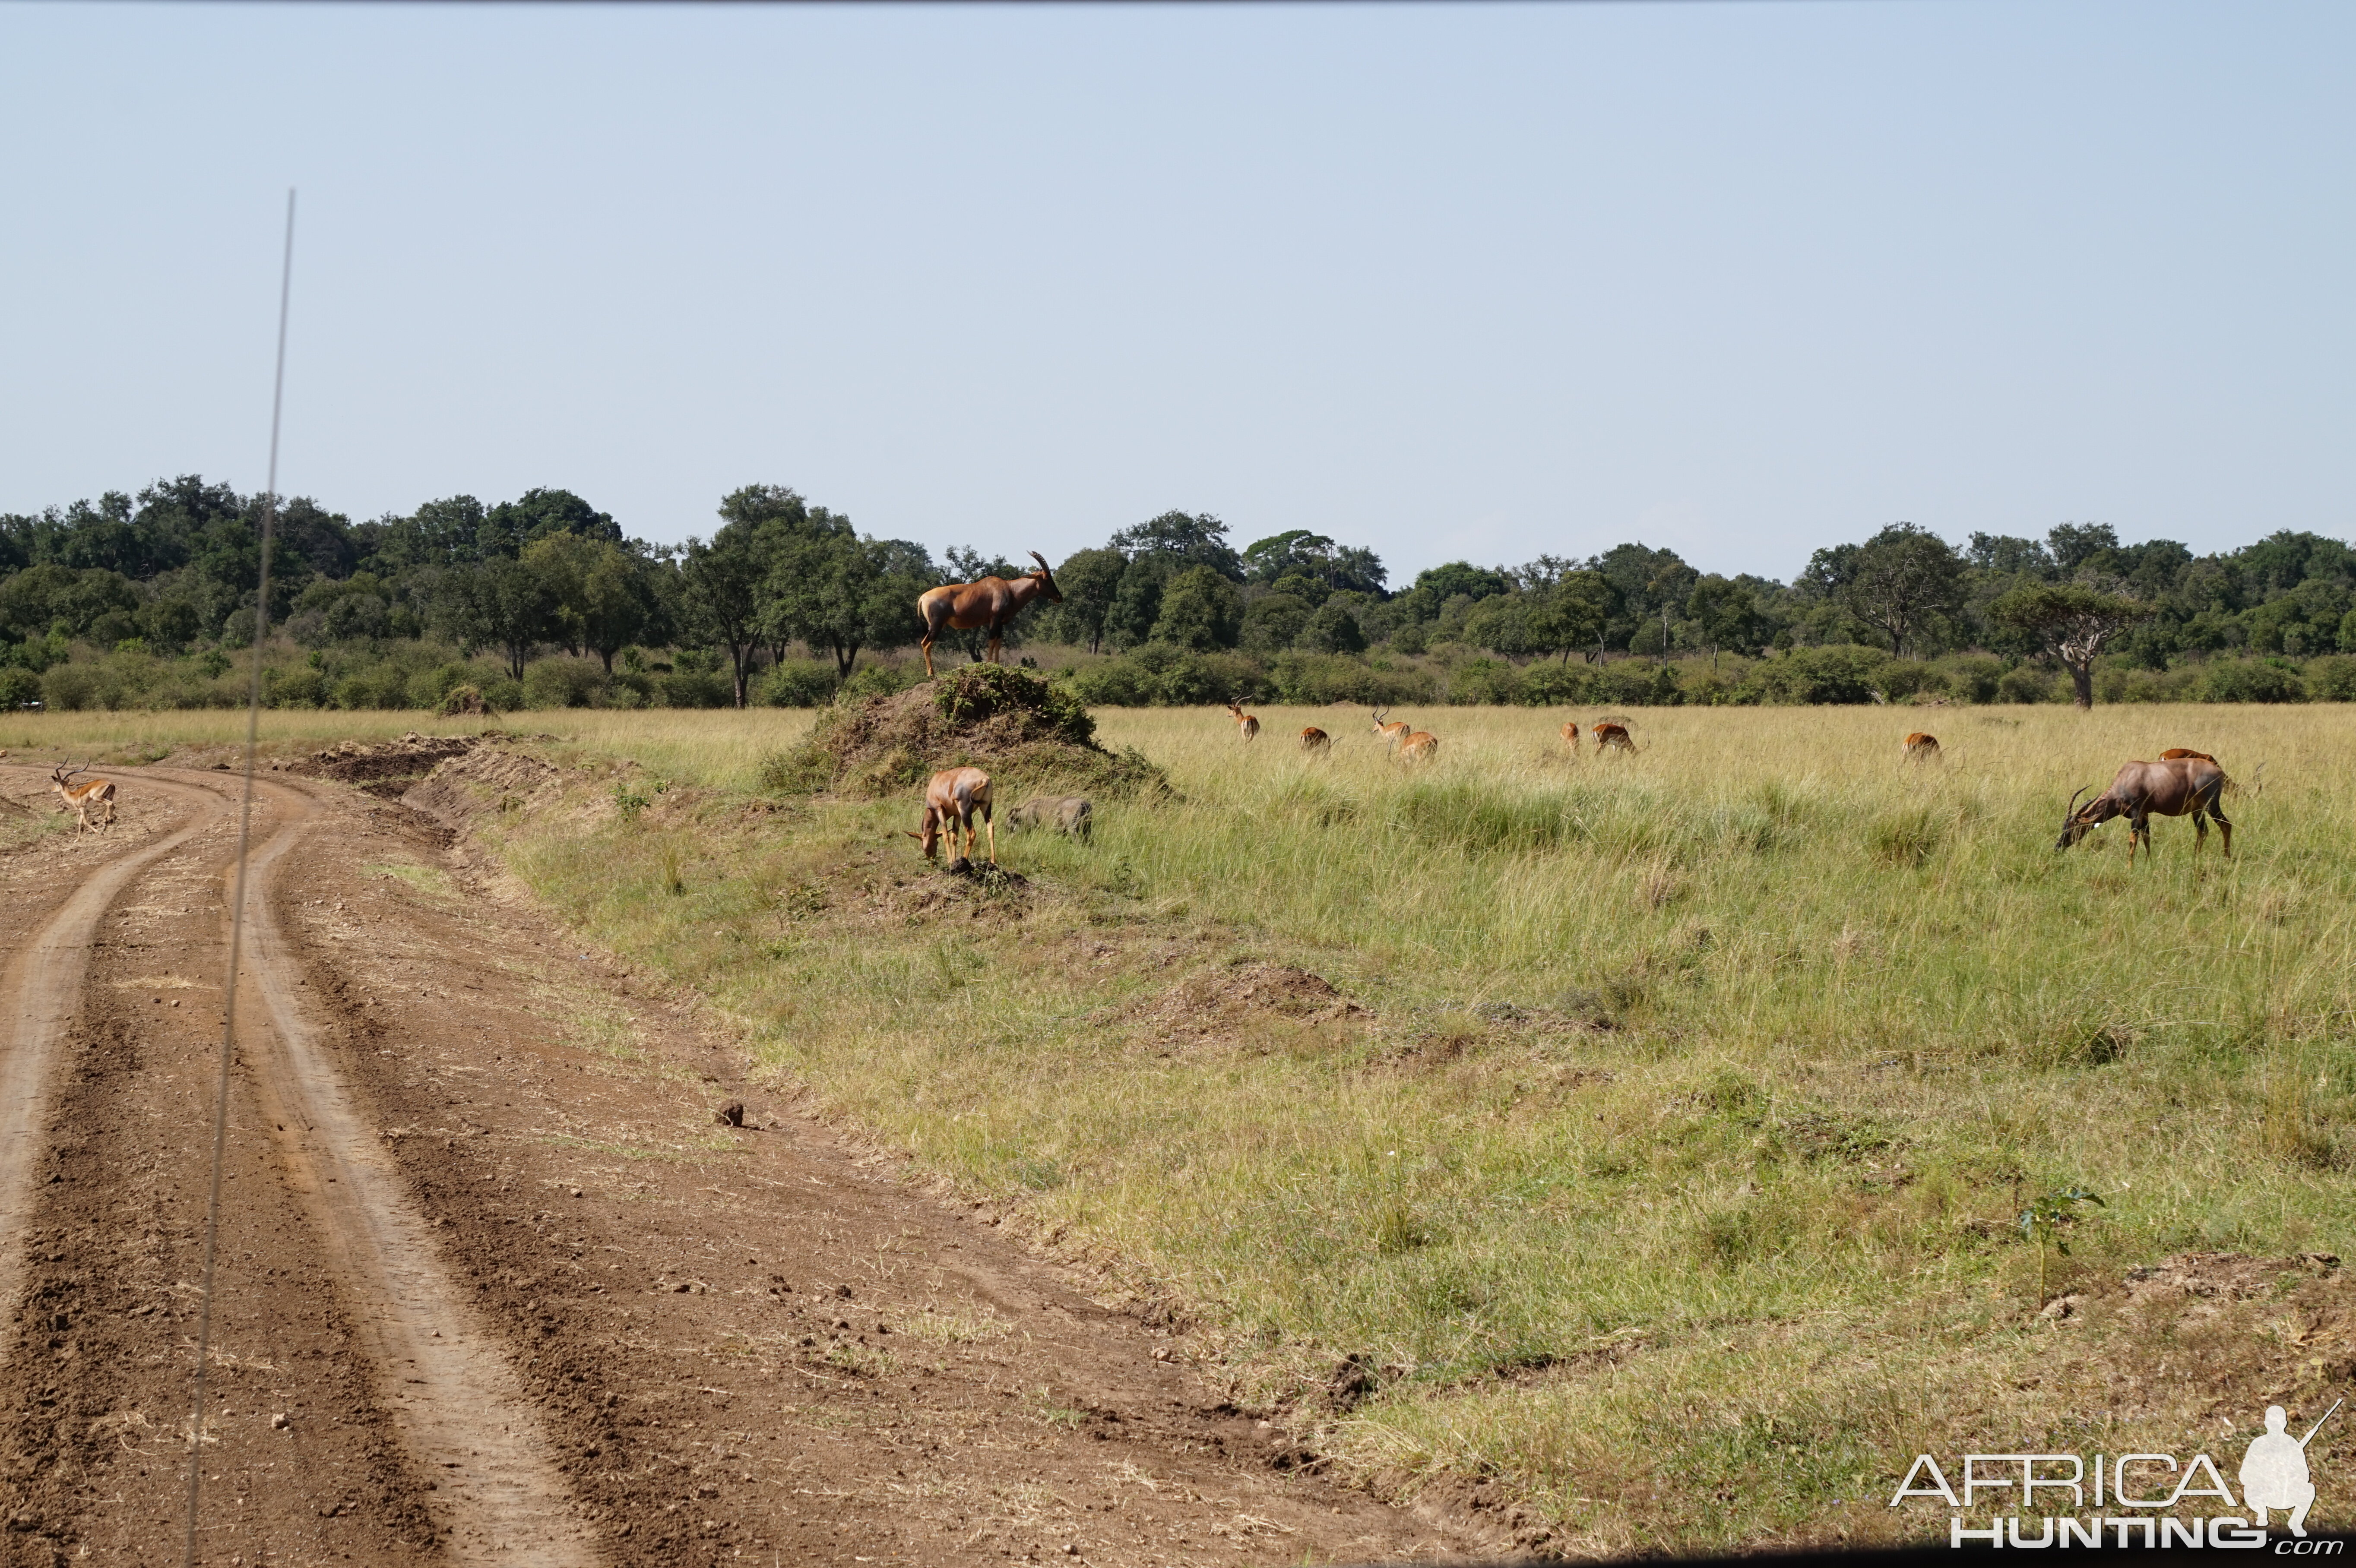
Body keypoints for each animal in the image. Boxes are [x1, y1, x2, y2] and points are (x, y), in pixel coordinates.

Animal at [49, 758, 116, 828]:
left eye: (57, 783)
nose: (52, 790)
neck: (72, 796)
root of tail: (111, 784)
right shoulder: (82, 810)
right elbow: (80, 823)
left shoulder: (82, 808)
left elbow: (85, 822)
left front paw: (98, 831)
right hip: (108, 798)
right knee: (113, 806)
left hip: (97, 798)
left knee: (110, 804)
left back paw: (104, 821)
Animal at [900, 762, 994, 861]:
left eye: (922, 843)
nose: (932, 858)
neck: (937, 780)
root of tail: (984, 779)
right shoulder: (957, 814)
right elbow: (954, 836)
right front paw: (953, 860)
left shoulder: (939, 809)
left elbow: (945, 834)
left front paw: (950, 861)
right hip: (986, 806)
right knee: (990, 827)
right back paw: (993, 861)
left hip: (965, 810)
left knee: (971, 833)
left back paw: (965, 858)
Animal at [918, 548, 1070, 673]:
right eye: (1046, 578)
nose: (1059, 597)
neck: (1009, 589)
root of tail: (924, 597)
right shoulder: (994, 619)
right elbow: (991, 642)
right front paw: (989, 666)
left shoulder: (1001, 623)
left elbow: (998, 642)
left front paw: (997, 666)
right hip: (937, 625)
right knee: (926, 644)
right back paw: (932, 675)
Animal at [2054, 753, 2233, 861]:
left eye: (2071, 828)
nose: (2058, 849)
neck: (2127, 778)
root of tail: (2219, 772)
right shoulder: (2145, 814)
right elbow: (2146, 836)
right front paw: (2149, 861)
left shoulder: (2137, 812)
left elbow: (2133, 838)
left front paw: (2130, 867)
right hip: (2197, 810)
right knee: (2203, 831)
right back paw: (2195, 858)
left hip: (2212, 805)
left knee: (2226, 825)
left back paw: (2227, 859)